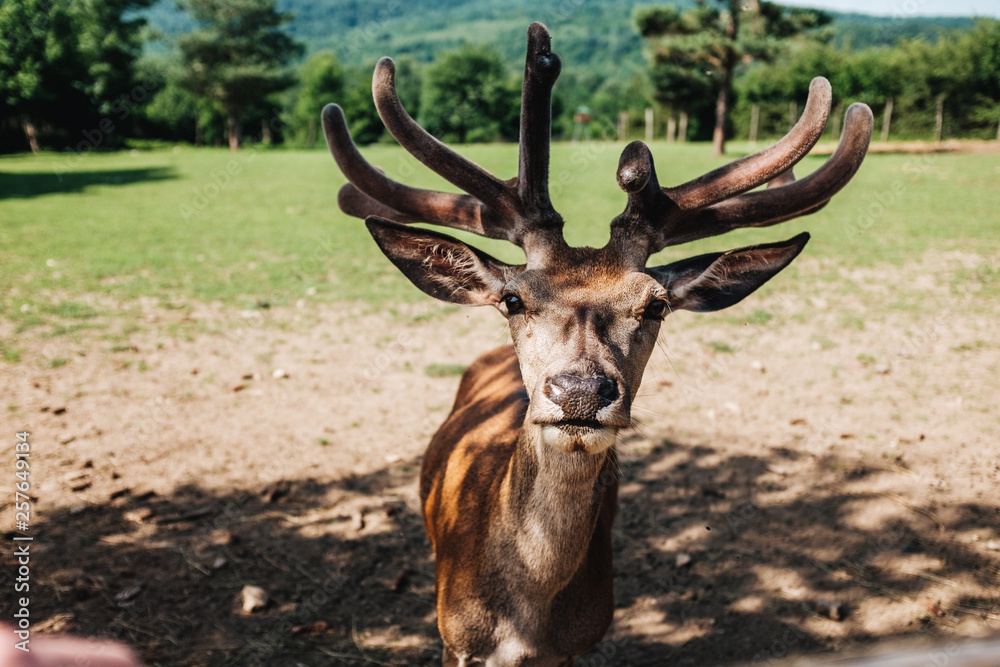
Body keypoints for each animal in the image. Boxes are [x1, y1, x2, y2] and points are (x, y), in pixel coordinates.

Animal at [322, 23, 873, 667]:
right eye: (513, 299)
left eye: (656, 304)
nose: (581, 391)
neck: (523, 624)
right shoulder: (453, 636)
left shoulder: (585, 639)